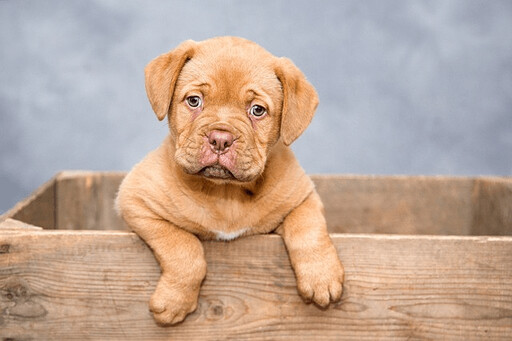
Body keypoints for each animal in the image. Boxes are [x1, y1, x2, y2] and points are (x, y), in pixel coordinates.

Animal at [117, 36, 344, 324]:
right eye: (194, 101)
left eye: (257, 110)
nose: (220, 139)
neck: (226, 193)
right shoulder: (136, 199)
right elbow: (183, 247)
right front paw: (174, 302)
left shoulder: (303, 196)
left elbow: (308, 228)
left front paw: (321, 277)